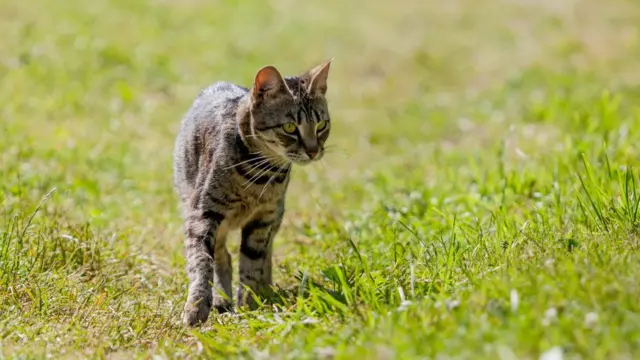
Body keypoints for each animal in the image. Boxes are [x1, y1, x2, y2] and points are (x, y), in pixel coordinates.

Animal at [172, 59, 332, 326]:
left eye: (321, 125)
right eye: (290, 127)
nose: (313, 151)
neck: (260, 174)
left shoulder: (263, 219)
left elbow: (252, 263)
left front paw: (249, 306)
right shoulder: (203, 213)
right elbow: (202, 261)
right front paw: (196, 306)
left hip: (276, 217)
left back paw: (264, 291)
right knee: (221, 256)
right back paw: (221, 299)